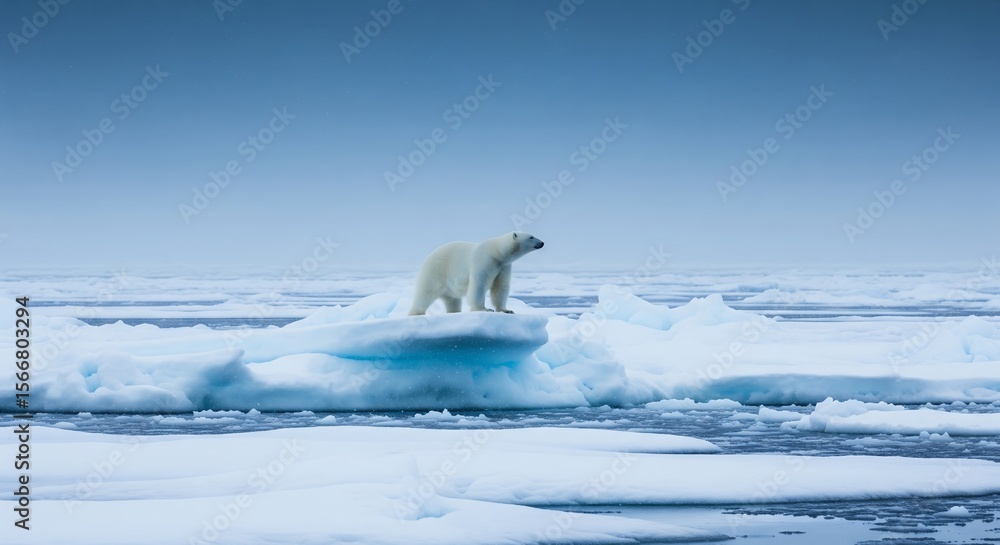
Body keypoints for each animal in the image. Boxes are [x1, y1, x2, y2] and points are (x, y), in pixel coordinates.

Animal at [408, 232, 544, 316]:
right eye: (531, 237)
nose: (542, 243)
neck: (497, 252)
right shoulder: (484, 260)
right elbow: (479, 284)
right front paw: (484, 309)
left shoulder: (503, 266)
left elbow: (500, 287)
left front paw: (506, 310)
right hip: (435, 271)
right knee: (425, 293)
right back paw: (416, 313)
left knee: (452, 300)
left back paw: (454, 312)